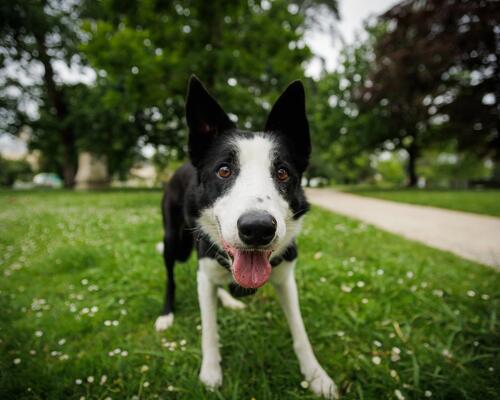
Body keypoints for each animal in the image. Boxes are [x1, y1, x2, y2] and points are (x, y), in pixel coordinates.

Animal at [154, 76, 338, 398]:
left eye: (282, 173)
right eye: (224, 171)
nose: (258, 228)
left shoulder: (286, 280)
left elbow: (300, 331)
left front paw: (316, 376)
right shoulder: (203, 268)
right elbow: (209, 329)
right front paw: (210, 372)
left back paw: (228, 299)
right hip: (173, 241)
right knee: (172, 277)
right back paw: (167, 314)